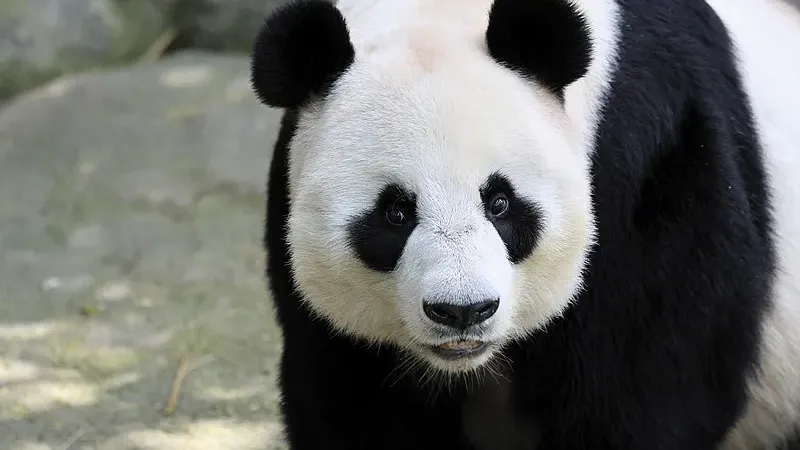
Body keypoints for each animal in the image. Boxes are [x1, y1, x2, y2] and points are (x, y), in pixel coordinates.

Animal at [249, 0, 800, 448]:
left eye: (499, 202)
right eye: (395, 213)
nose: (462, 311)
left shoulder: (652, 157)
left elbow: (650, 390)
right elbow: (351, 403)